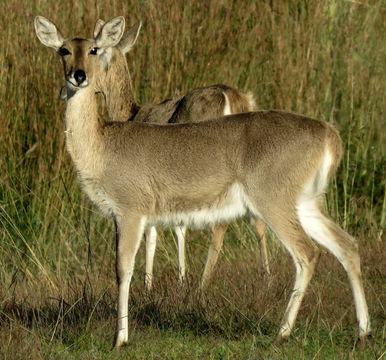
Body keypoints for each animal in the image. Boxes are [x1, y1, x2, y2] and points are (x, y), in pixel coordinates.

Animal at [88, 20, 270, 290]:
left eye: (95, 49)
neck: (131, 113)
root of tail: (233, 99)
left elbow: (155, 232)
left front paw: (150, 285)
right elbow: (178, 225)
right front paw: (179, 278)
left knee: (221, 223)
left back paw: (203, 284)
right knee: (257, 220)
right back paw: (267, 277)